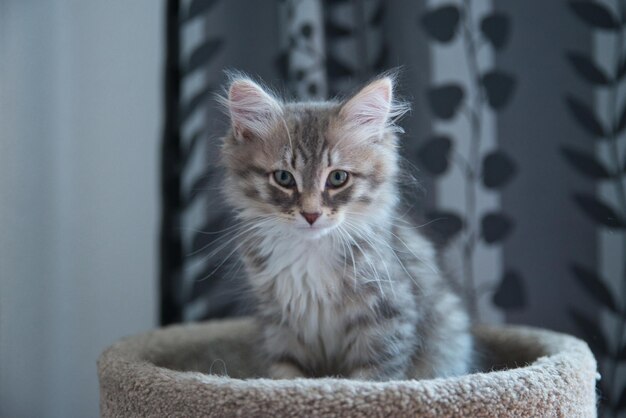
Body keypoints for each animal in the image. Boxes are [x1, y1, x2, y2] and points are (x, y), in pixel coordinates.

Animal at [218, 73, 468, 380]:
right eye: (283, 178)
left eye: (338, 178)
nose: (311, 214)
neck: (310, 254)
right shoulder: (277, 325)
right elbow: (286, 376)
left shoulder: (388, 317)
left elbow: (370, 379)